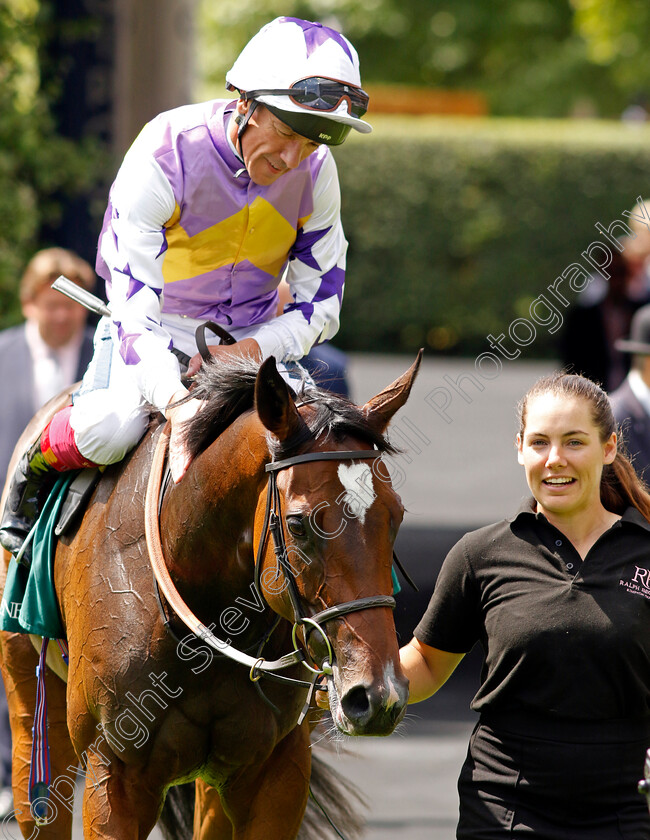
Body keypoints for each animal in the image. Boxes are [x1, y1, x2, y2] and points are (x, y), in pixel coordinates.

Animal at [0, 352, 420, 840]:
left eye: (396, 515)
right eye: (298, 524)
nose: (378, 695)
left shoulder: (277, 768)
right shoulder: (114, 772)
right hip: (29, 698)